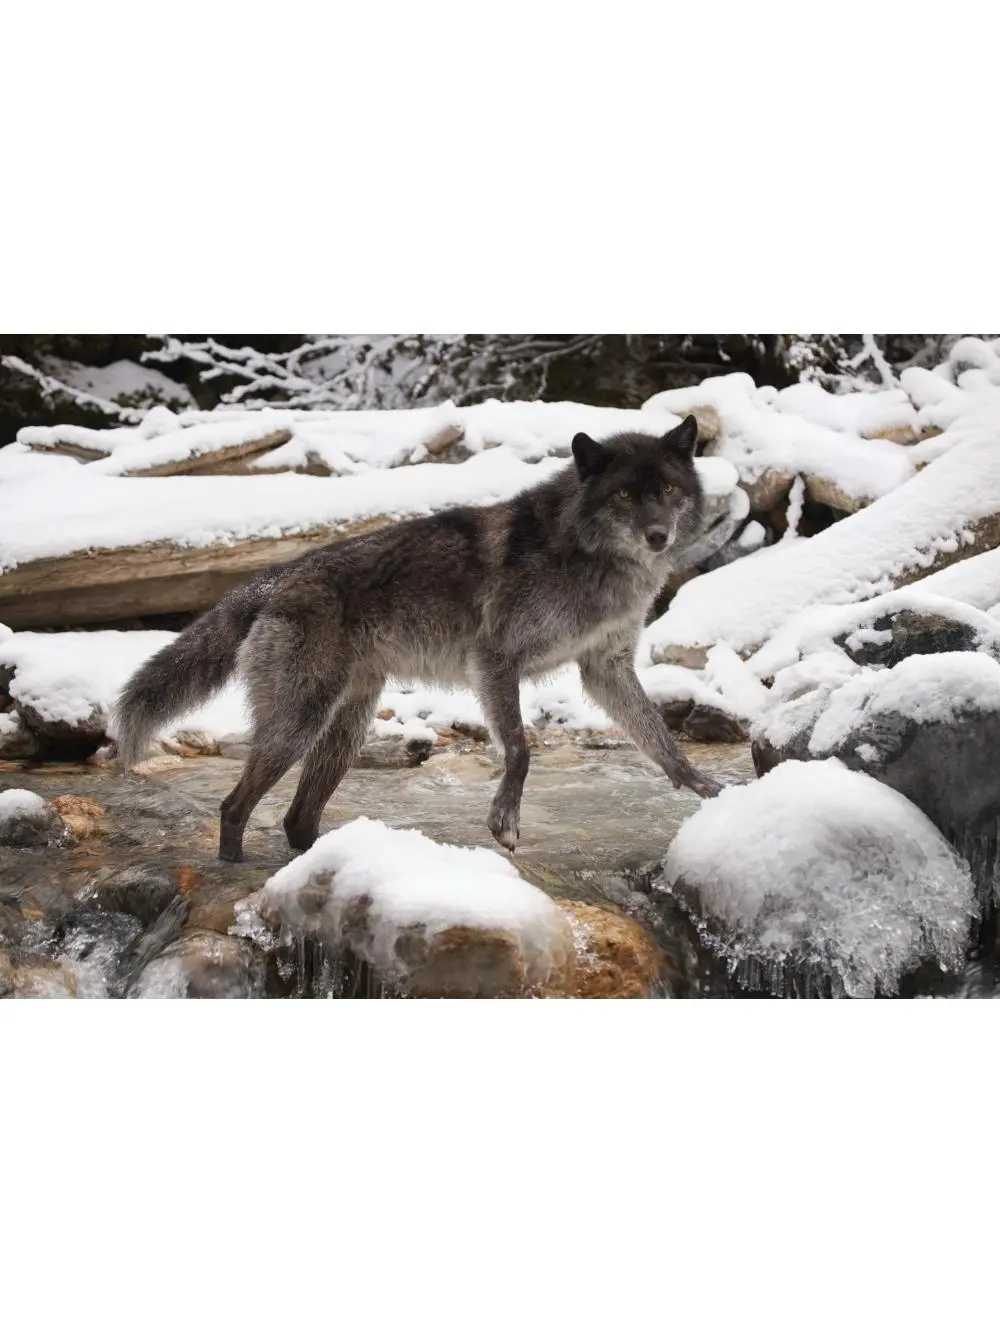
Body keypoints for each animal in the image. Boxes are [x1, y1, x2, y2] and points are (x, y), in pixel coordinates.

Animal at [114, 415, 722, 862]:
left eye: (668, 489)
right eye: (624, 495)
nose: (658, 535)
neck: (587, 556)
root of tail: (275, 578)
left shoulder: (605, 668)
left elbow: (659, 738)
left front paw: (702, 788)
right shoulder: (495, 659)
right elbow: (520, 750)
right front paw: (504, 823)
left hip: (344, 732)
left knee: (295, 819)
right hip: (298, 726)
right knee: (234, 807)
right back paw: (236, 868)